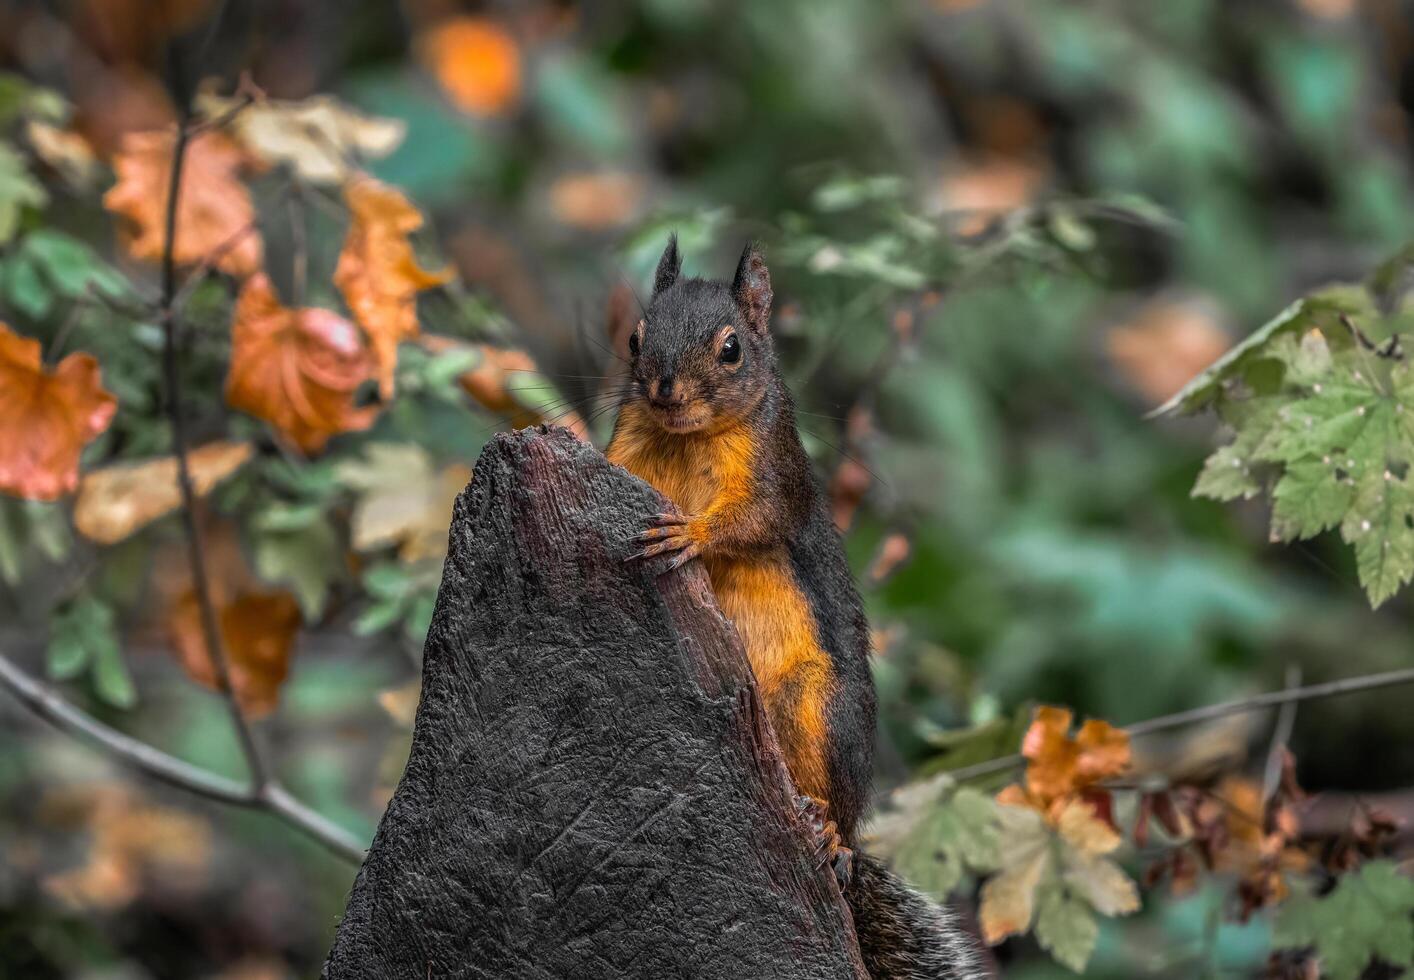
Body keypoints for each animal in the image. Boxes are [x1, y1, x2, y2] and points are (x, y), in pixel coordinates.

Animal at [608, 237, 984, 978]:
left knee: (835, 805)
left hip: (818, 709)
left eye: (731, 349)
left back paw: (829, 833)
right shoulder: (626, 443)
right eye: (636, 337)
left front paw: (693, 533)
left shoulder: (777, 471)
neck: (685, 436)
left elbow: (755, 520)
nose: (664, 388)